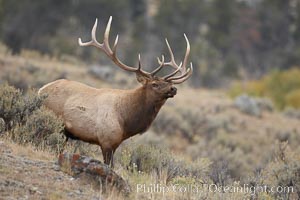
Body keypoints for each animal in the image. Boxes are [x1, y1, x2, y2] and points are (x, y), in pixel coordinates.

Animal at [38, 16, 193, 166]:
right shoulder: (106, 140)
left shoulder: (115, 143)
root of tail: (41, 90)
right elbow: (109, 166)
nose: (173, 88)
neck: (126, 120)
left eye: (170, 83)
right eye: (154, 84)